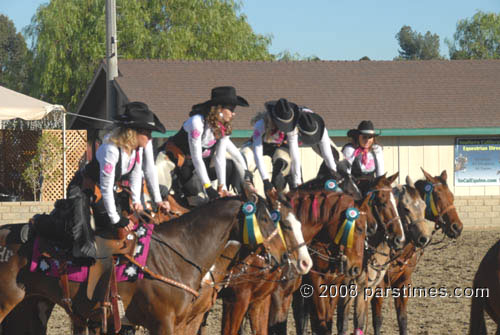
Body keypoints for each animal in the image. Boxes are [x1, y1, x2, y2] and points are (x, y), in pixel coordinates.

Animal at [368, 169, 464, 335]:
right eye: (438, 196)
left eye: (451, 196)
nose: (457, 227)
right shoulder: (378, 285)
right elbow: (377, 320)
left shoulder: (404, 282)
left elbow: (402, 319)